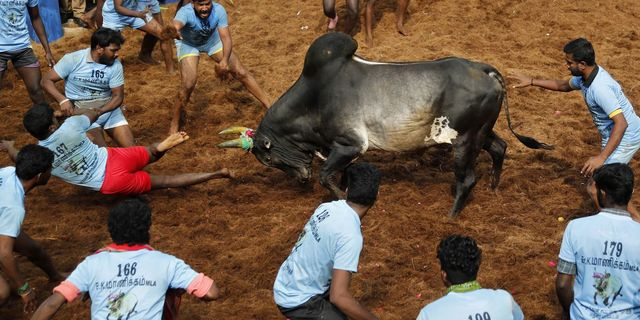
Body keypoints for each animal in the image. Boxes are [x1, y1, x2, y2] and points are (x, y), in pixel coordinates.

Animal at [219, 31, 552, 218]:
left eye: (269, 158)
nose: (300, 178)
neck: (314, 97)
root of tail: (484, 69)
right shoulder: (344, 151)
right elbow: (343, 176)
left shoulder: (351, 144)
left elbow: (327, 177)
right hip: (480, 132)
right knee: (500, 147)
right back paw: (495, 187)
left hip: (463, 139)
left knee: (468, 178)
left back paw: (452, 215)